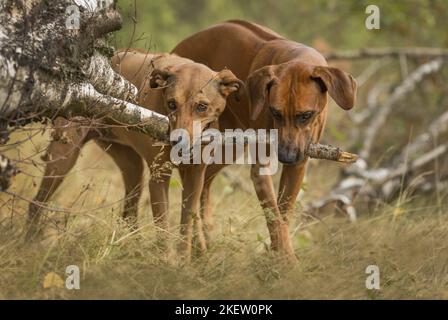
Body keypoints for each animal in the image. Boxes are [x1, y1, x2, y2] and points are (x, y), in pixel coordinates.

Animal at [27, 49, 245, 258]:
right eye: (171, 104)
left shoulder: (195, 178)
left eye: (202, 106)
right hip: (62, 160)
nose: (177, 141)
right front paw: (169, 263)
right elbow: (163, 228)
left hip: (132, 168)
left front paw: (184, 263)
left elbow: (186, 227)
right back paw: (28, 244)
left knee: (129, 212)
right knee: (35, 204)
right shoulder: (159, 177)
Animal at [173, 19, 358, 260]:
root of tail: (176, 49)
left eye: (306, 115)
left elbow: (283, 215)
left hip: (228, 148)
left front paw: (275, 256)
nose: (286, 156)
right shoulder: (262, 170)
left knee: (203, 187)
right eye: (275, 112)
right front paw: (287, 261)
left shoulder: (299, 164)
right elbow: (275, 219)